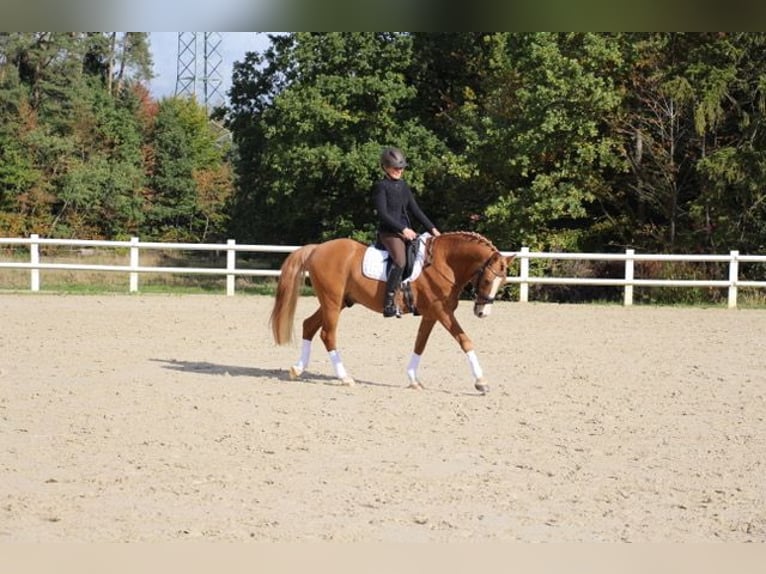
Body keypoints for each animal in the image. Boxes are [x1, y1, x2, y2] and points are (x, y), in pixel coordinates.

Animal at [270, 232, 516, 394]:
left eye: (503, 281)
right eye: (487, 279)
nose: (482, 312)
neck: (443, 263)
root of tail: (317, 248)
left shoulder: (431, 314)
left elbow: (420, 344)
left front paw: (414, 379)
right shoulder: (442, 312)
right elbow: (465, 340)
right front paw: (481, 382)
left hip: (338, 302)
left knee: (309, 325)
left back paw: (297, 369)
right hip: (332, 302)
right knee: (327, 334)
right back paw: (345, 377)